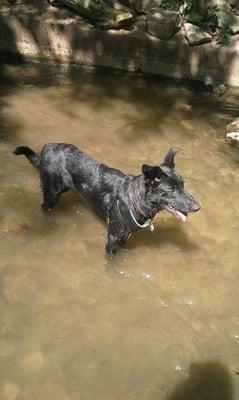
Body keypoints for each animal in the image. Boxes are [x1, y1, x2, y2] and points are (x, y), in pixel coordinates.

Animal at [13, 144, 200, 256]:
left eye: (183, 185)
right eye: (172, 190)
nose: (197, 207)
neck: (135, 200)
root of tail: (45, 148)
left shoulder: (124, 237)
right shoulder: (112, 237)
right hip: (52, 194)